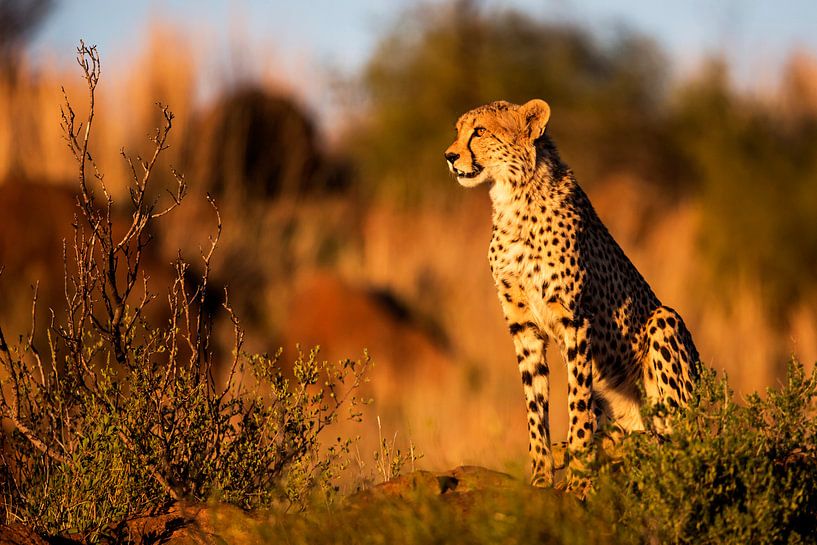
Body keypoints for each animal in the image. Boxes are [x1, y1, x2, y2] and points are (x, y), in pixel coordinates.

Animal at [444, 99, 700, 488]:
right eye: (459, 131)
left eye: (480, 131)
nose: (449, 155)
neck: (512, 196)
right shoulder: (523, 327)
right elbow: (535, 405)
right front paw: (540, 476)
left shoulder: (575, 320)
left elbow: (577, 401)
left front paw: (579, 478)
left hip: (665, 321)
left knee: (678, 440)